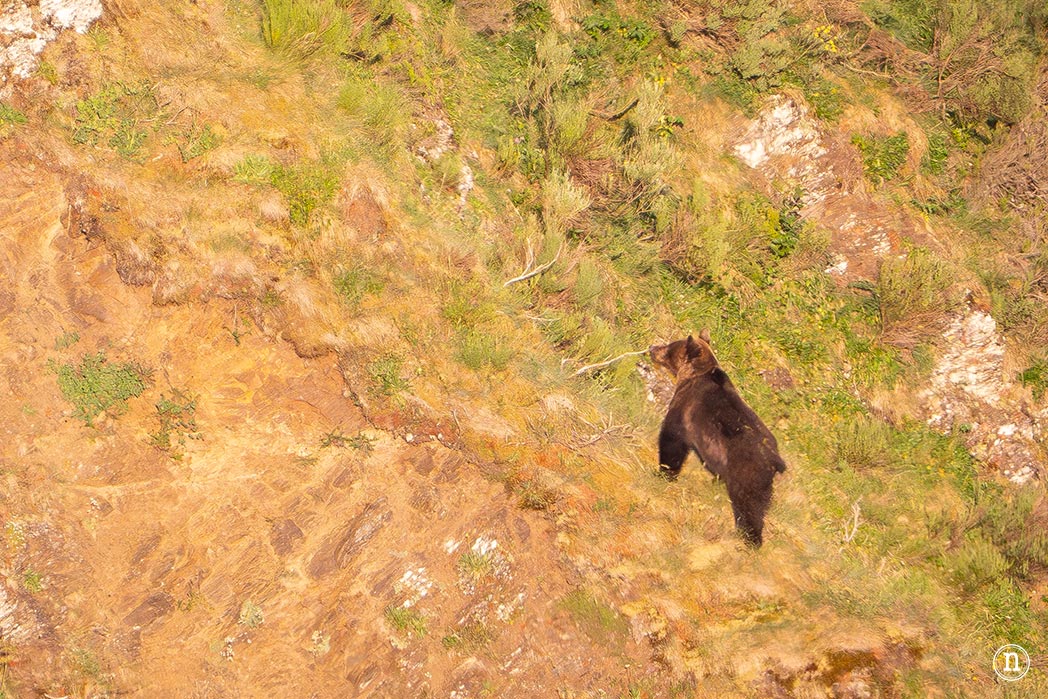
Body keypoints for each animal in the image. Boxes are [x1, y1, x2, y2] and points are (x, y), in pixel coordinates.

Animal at [649, 330, 786, 547]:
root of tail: (776, 461)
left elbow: (673, 439)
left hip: (747, 473)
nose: (652, 348)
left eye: (669, 346)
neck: (691, 375)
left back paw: (749, 539)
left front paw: (664, 472)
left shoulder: (685, 408)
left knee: (750, 506)